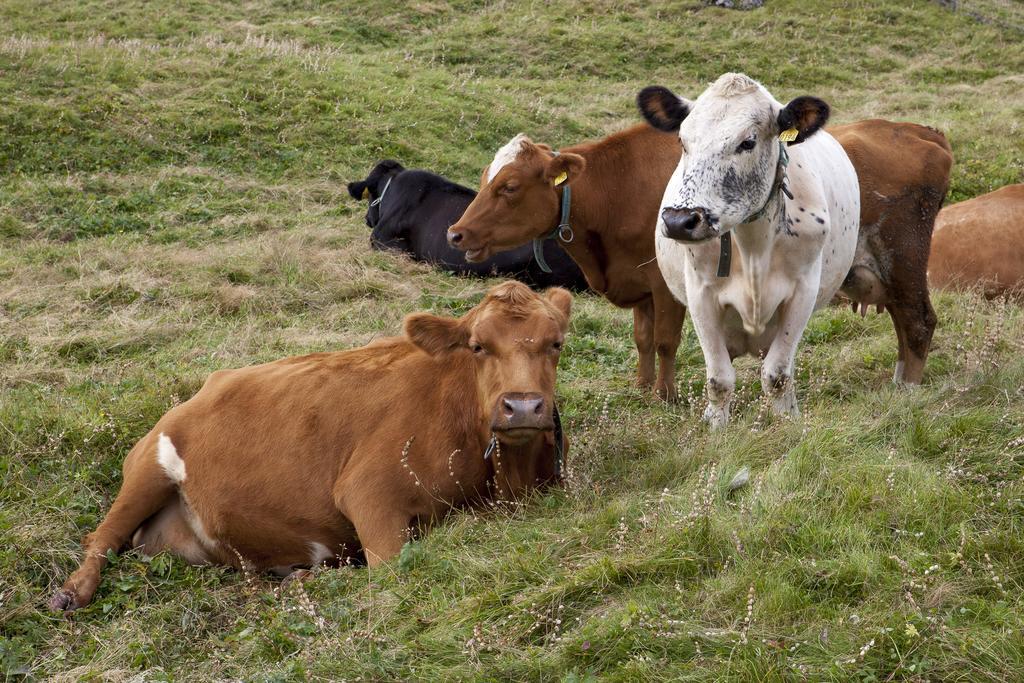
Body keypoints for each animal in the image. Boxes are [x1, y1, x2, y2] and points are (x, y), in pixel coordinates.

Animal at [48, 280, 573, 610]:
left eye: (556, 343)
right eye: (478, 346)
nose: (523, 406)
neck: (505, 478)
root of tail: (203, 388)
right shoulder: (370, 492)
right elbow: (393, 569)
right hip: (150, 467)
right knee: (101, 539)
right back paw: (72, 593)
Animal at [448, 125, 688, 401]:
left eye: (510, 187)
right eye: (484, 178)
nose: (455, 234)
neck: (619, 192)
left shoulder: (665, 286)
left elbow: (665, 340)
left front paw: (665, 395)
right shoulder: (639, 280)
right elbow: (643, 338)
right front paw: (642, 386)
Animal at [634, 74, 860, 428]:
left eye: (747, 143)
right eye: (683, 141)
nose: (680, 221)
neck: (754, 247)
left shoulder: (803, 292)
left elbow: (778, 375)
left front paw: (787, 423)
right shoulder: (700, 294)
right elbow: (719, 378)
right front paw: (716, 426)